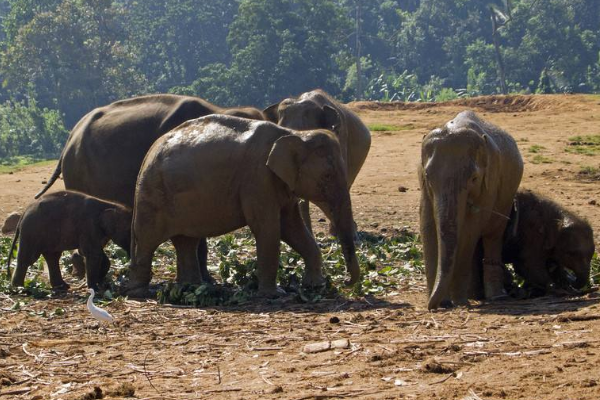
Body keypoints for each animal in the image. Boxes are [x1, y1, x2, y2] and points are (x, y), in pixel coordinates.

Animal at [420, 111, 524, 310]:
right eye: (428, 176)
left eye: (474, 179)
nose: (431, 306)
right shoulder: (424, 188)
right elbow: (427, 225)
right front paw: (441, 302)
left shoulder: (489, 183)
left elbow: (470, 231)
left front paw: (459, 302)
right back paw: (475, 295)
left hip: (505, 199)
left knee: (493, 235)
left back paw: (494, 297)